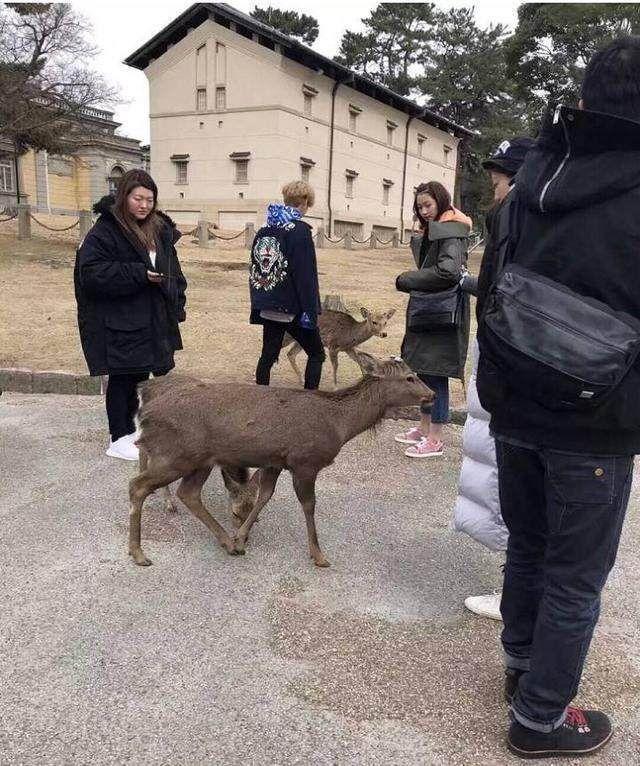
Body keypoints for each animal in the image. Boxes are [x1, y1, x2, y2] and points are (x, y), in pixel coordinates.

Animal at [128, 356, 433, 568]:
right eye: (409, 377)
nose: (431, 394)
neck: (339, 426)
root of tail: (145, 408)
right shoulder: (305, 461)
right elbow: (309, 505)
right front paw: (319, 555)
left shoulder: (274, 461)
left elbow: (264, 495)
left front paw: (241, 538)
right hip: (177, 454)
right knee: (138, 485)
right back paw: (138, 553)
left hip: (200, 460)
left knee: (188, 493)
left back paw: (226, 542)